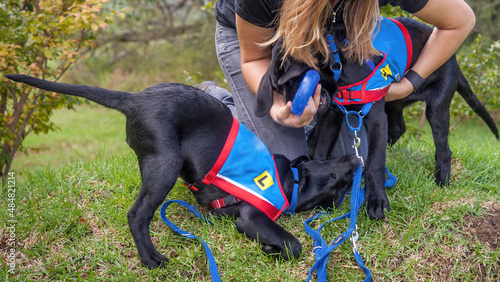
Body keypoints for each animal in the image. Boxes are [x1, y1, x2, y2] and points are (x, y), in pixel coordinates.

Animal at [3, 74, 360, 268]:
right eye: (340, 181)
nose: (356, 162)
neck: (294, 181)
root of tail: (135, 99)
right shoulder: (251, 216)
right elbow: (295, 245)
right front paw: (274, 249)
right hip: (165, 164)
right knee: (137, 215)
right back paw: (151, 259)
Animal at [256, 17, 498, 220]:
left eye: (289, 81)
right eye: (276, 89)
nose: (291, 111)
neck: (338, 59)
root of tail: (456, 61)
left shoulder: (375, 118)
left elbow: (374, 162)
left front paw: (377, 201)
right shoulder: (335, 114)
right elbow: (322, 151)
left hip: (436, 107)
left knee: (443, 149)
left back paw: (442, 181)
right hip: (394, 103)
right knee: (399, 127)